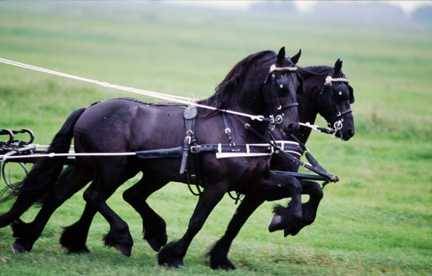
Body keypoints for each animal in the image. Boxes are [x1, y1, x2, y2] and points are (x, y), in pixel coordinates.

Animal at [0, 48, 304, 268]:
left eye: (298, 84)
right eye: (280, 85)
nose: (291, 125)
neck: (235, 125)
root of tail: (91, 108)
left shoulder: (255, 181)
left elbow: (294, 186)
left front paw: (288, 219)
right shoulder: (216, 185)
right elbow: (197, 221)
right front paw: (174, 255)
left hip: (92, 166)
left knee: (60, 195)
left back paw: (30, 240)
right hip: (114, 168)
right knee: (94, 196)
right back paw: (123, 236)